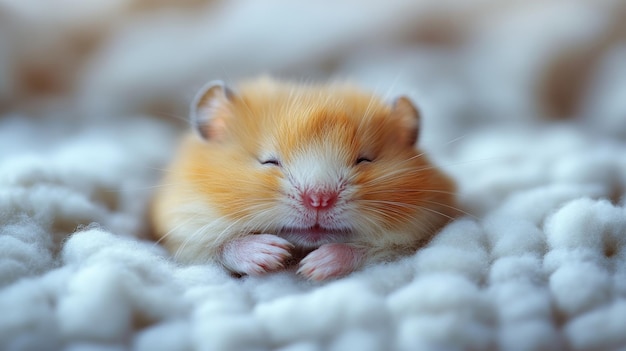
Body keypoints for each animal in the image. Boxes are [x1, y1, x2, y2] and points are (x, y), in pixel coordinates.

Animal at [149, 76, 456, 280]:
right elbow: (222, 246)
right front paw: (273, 254)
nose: (319, 200)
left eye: (364, 159)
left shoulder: (416, 237)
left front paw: (312, 267)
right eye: (269, 161)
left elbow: (370, 250)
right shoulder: (185, 231)